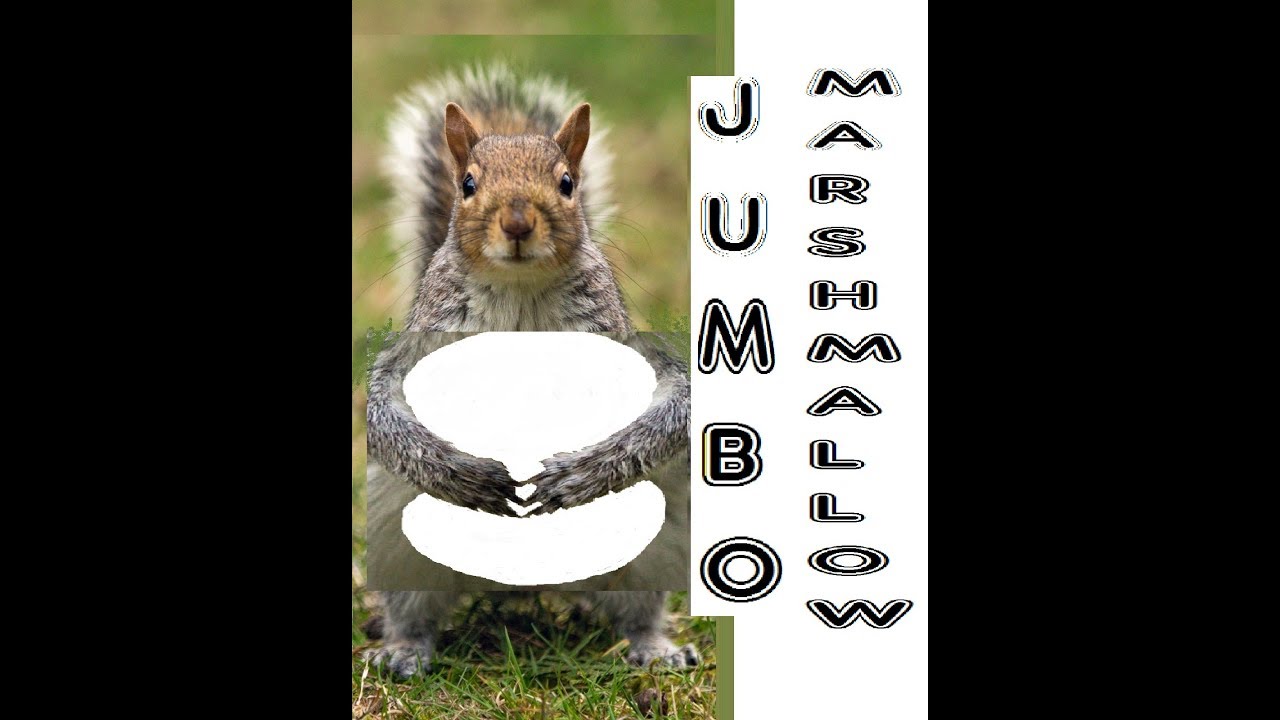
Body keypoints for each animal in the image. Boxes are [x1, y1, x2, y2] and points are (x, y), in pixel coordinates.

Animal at [362, 66, 696, 677]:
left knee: (634, 608)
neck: (520, 294)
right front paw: (462, 474)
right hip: (395, 531)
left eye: (567, 183)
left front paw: (578, 474)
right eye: (468, 184)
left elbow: (673, 406)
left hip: (655, 538)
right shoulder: (418, 347)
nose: (517, 222)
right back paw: (403, 649)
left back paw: (654, 647)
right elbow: (382, 412)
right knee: (414, 610)